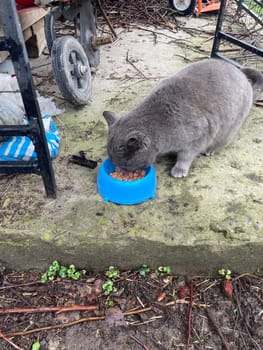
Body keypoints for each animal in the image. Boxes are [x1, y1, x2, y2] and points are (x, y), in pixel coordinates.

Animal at [103, 58, 263, 178]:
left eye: (125, 164)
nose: (118, 171)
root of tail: (241, 74)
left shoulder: (198, 139)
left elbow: (185, 157)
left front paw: (179, 170)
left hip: (230, 127)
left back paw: (211, 149)